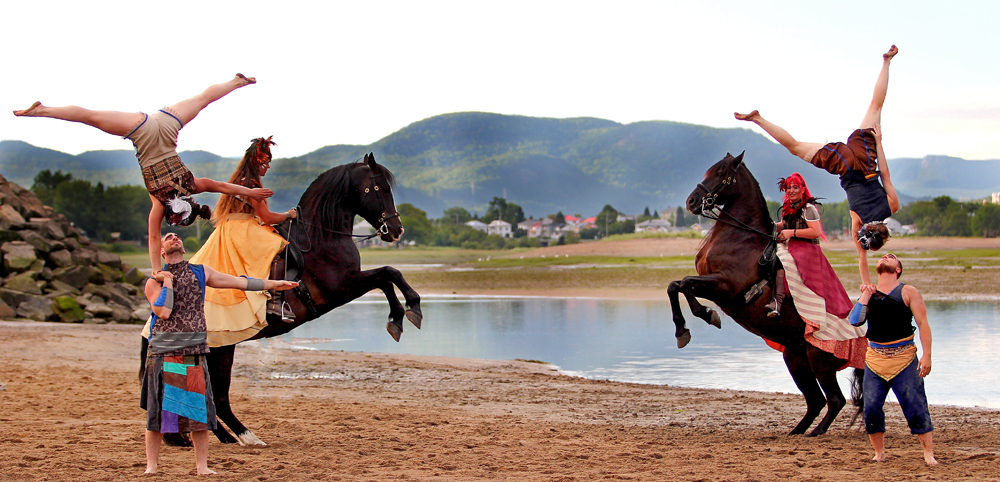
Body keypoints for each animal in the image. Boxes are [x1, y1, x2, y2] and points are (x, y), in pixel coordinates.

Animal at [664, 153, 860, 436]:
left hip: (819, 360)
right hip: (795, 359)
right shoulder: (713, 286)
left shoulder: (725, 287)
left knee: (835, 400)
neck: (741, 238)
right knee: (816, 401)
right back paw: (796, 432)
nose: (691, 201)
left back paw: (816, 433)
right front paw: (686, 328)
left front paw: (703, 316)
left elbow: (686, 284)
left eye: (721, 173)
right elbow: (676, 285)